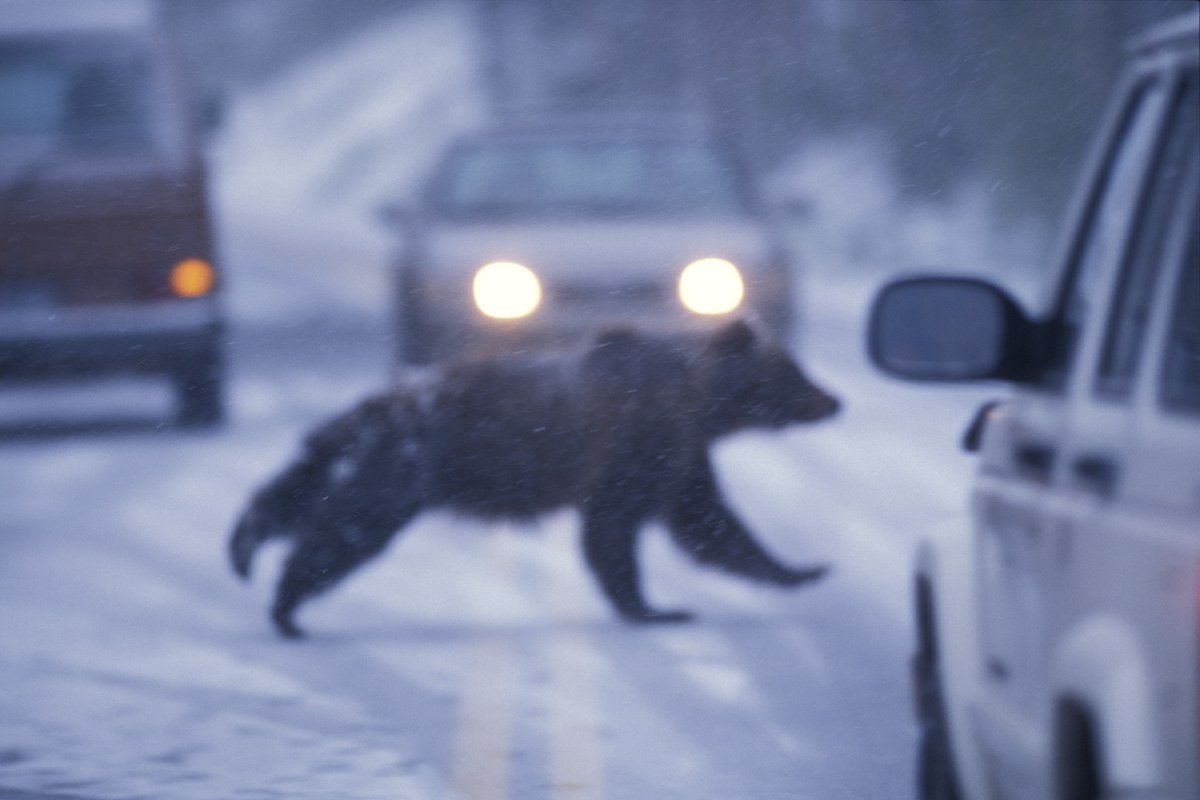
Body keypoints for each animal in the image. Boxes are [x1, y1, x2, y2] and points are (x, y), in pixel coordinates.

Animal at [229, 319, 840, 638]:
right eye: (793, 372)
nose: (834, 400)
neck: (697, 399)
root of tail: (379, 404)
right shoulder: (640, 445)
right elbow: (615, 530)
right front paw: (657, 608)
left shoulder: (682, 455)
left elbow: (708, 521)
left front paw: (799, 569)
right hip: (400, 474)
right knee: (341, 534)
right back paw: (285, 608)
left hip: (368, 462)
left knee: (300, 493)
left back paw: (246, 552)